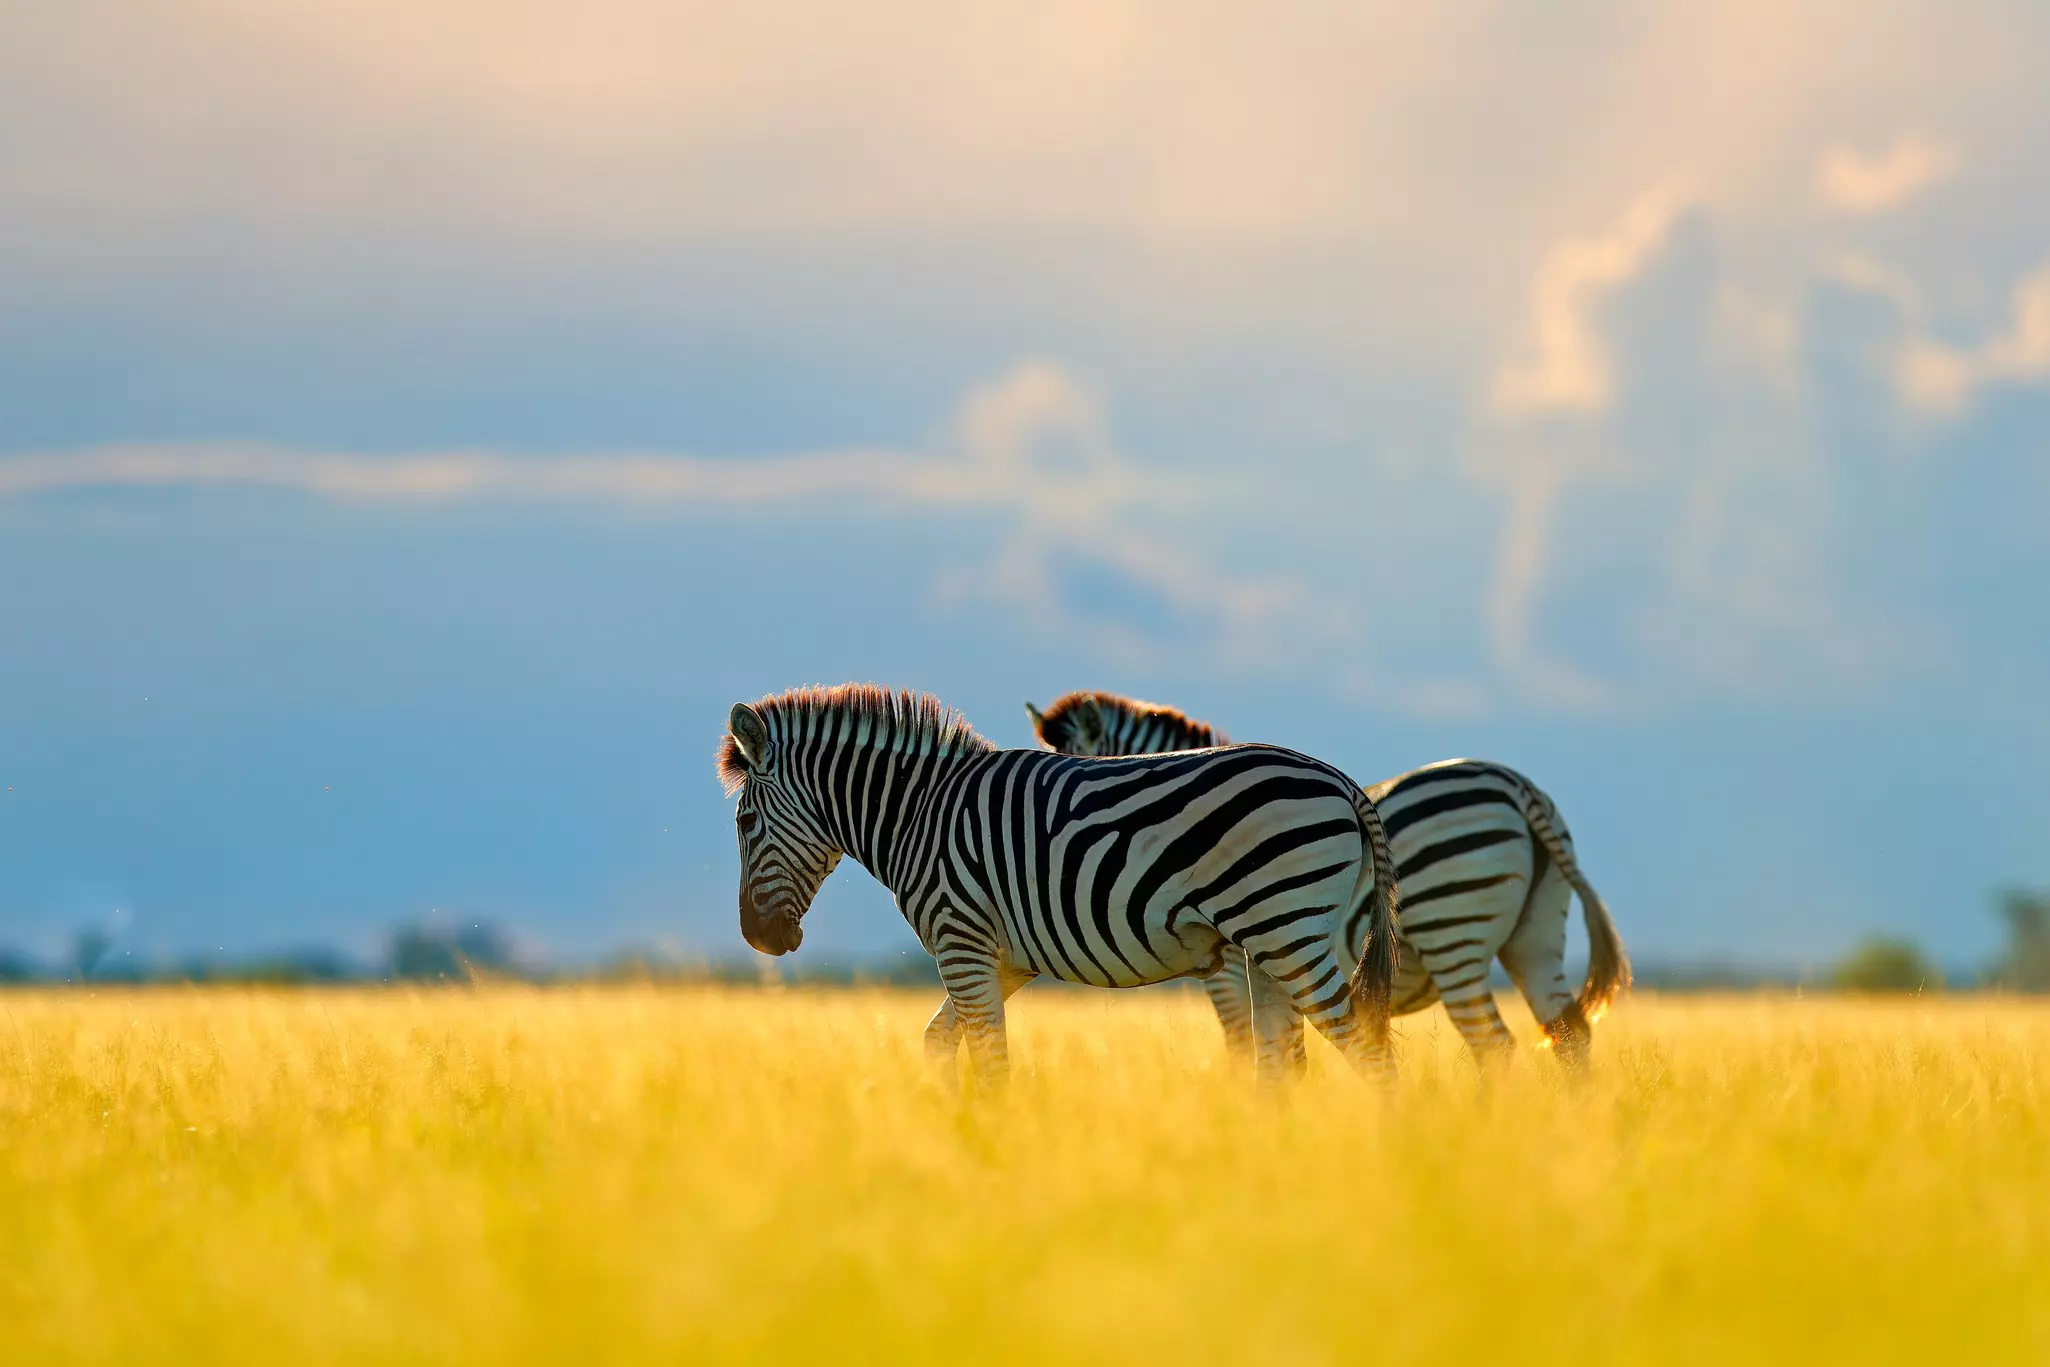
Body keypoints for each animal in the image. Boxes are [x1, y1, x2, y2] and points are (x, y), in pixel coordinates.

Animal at [720, 683, 1402, 1087]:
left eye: (744, 822)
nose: (759, 940)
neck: (918, 811)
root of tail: (1341, 781)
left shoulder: (960, 941)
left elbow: (992, 1064)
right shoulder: (1002, 958)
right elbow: (939, 1042)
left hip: (1287, 933)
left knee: (1370, 1055)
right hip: (1271, 944)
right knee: (1283, 1064)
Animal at [1025, 690, 1629, 1068]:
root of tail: (1517, 788)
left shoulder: (1230, 973)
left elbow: (1247, 1051)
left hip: (1452, 928)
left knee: (1494, 1045)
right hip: (1535, 935)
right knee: (1569, 1036)